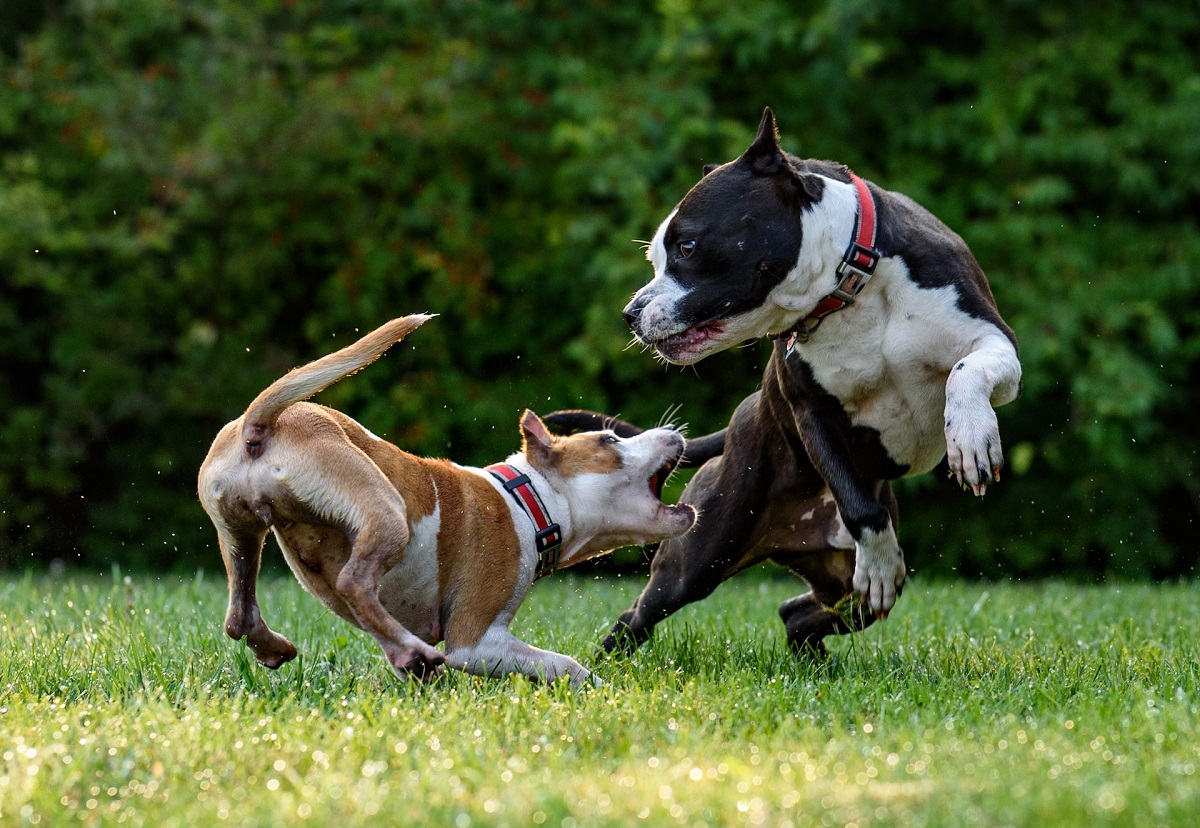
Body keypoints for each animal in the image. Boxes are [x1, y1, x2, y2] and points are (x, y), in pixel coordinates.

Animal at [196, 312, 696, 686]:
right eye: (610, 440)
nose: (674, 431)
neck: (528, 499)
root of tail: (259, 425)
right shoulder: (476, 641)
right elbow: (566, 665)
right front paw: (599, 690)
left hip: (240, 533)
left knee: (239, 614)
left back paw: (289, 647)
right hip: (384, 510)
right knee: (353, 581)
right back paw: (411, 650)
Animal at [549, 108, 1017, 652]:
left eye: (687, 246)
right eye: (657, 259)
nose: (630, 313)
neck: (850, 286)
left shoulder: (995, 341)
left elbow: (967, 370)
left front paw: (972, 437)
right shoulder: (811, 412)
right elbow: (860, 507)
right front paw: (879, 562)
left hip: (839, 585)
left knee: (801, 611)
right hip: (698, 557)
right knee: (639, 615)